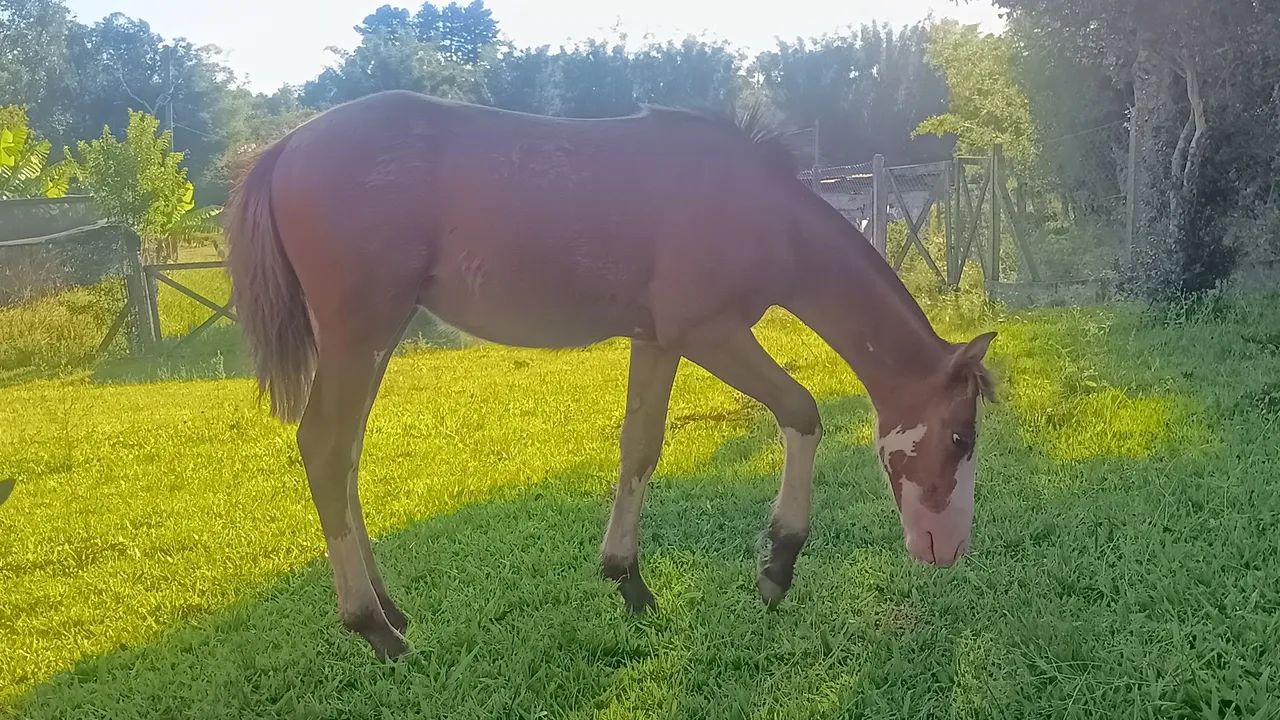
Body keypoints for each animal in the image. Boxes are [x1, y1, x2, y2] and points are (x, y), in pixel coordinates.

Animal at [226, 90, 997, 659]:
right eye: (961, 438)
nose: (949, 550)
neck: (756, 206)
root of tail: (285, 147)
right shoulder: (711, 335)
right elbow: (802, 411)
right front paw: (777, 566)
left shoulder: (658, 341)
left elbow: (640, 446)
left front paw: (628, 580)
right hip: (360, 334)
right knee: (325, 447)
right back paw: (373, 627)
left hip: (369, 341)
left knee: (346, 455)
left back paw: (390, 608)